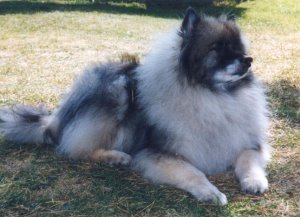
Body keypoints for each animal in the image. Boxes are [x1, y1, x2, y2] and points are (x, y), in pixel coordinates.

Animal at [0, 8, 270, 205]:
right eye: (218, 48)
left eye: (238, 48)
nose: (248, 60)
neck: (214, 95)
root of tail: (55, 119)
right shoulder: (156, 153)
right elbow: (192, 172)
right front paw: (210, 192)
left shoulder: (247, 142)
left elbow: (248, 160)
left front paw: (255, 181)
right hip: (117, 90)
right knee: (74, 148)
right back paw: (115, 156)